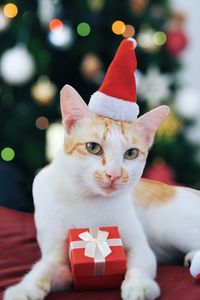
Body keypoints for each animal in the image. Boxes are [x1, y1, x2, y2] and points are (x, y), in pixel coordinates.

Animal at [3, 85, 200, 300]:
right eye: (93, 147)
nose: (113, 174)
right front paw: (23, 289)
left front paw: (139, 286)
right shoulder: (58, 257)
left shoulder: (139, 246)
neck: (88, 197)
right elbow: (43, 270)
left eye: (131, 153)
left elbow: (140, 263)